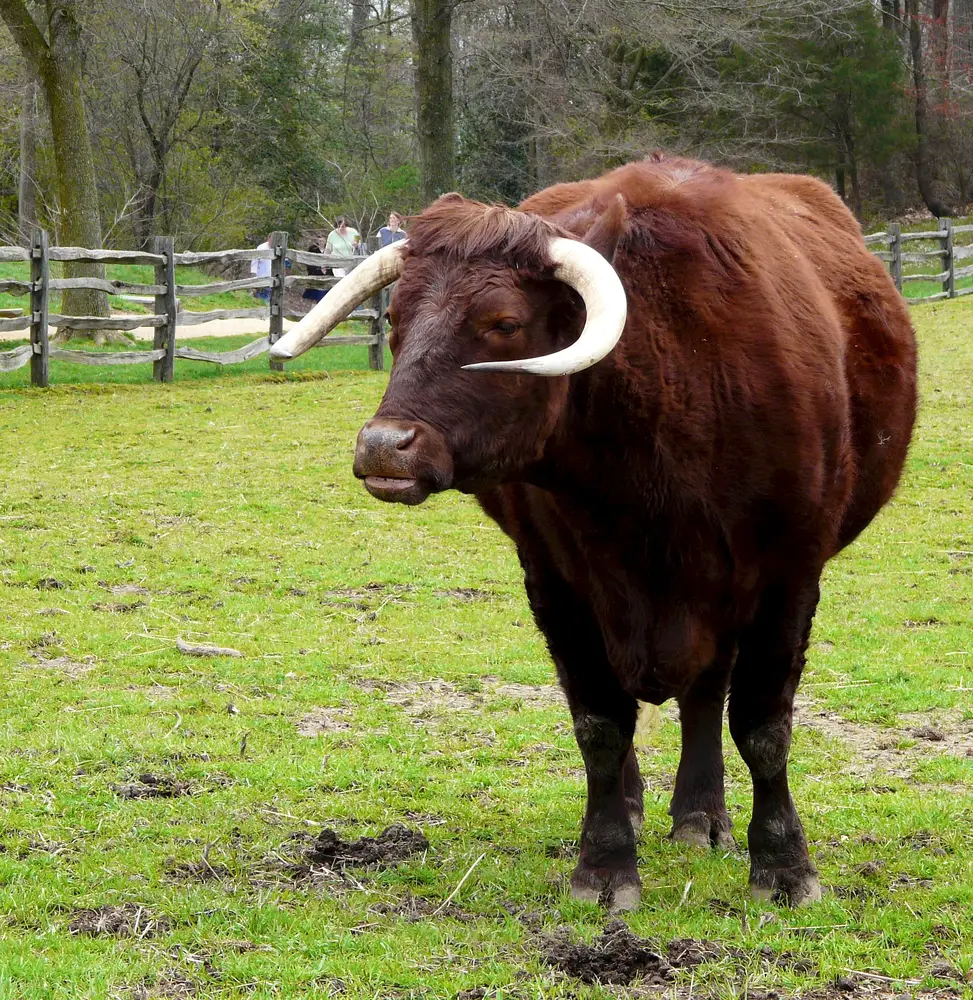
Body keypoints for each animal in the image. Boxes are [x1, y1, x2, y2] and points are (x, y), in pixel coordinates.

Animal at [270, 154, 917, 912]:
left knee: (708, 692)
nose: (384, 447)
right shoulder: (557, 582)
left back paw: (702, 817)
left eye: (502, 322)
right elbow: (600, 727)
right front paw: (605, 867)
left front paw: (784, 867)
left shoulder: (788, 575)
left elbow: (762, 725)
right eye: (397, 317)